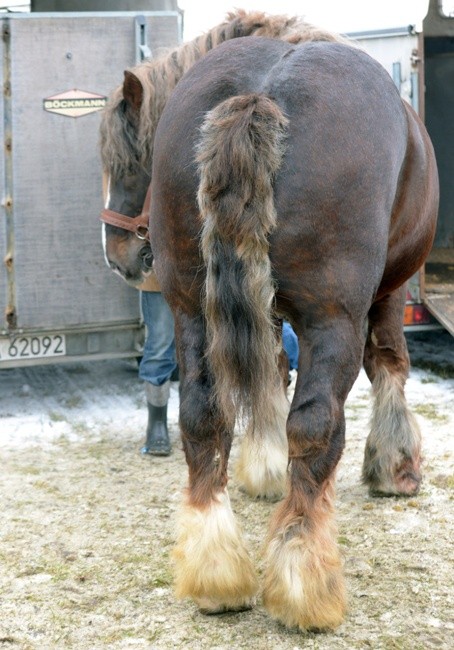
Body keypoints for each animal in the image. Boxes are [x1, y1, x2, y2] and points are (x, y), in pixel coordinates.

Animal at [98, 13, 436, 628]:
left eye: (133, 163)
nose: (120, 260)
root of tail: (260, 95)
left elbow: (271, 374)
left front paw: (266, 468)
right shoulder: (386, 292)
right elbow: (389, 364)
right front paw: (396, 466)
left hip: (191, 309)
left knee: (203, 416)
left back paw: (216, 570)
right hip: (332, 319)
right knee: (316, 424)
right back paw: (303, 579)